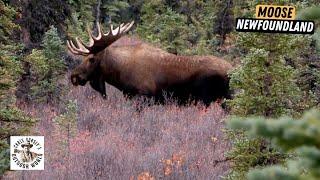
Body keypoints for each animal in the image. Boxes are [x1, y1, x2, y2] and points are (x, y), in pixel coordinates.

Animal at [67, 21, 232, 105]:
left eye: (91, 59)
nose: (74, 76)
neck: (119, 73)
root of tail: (232, 70)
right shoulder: (129, 95)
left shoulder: (144, 96)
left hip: (210, 98)